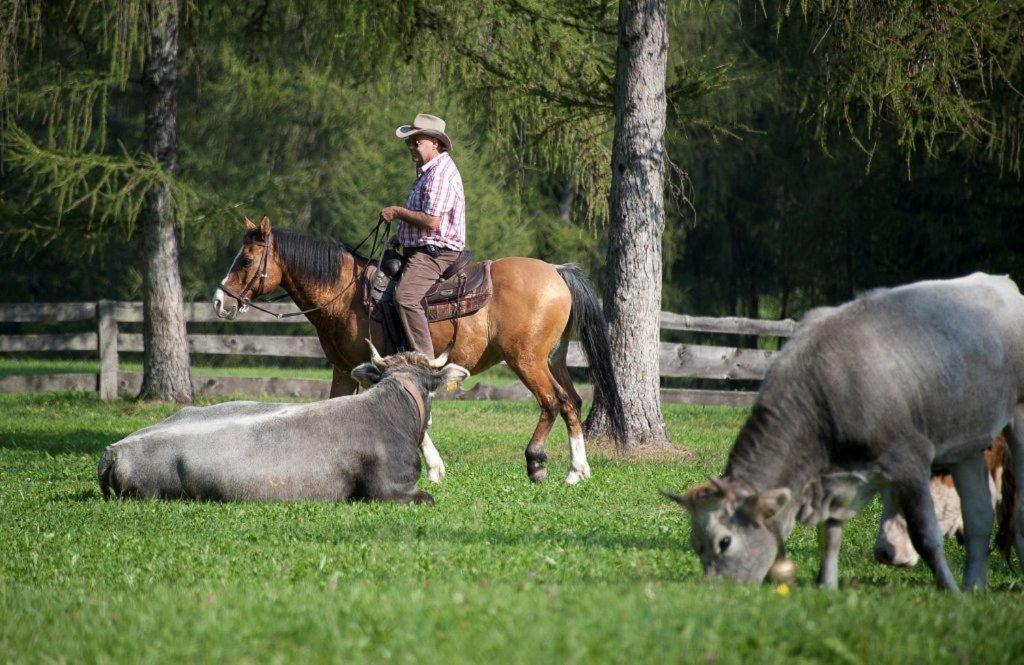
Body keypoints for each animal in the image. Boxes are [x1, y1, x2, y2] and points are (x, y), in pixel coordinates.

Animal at [214, 218, 622, 481]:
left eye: (246, 259)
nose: (220, 302)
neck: (346, 296)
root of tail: (557, 271)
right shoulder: (344, 369)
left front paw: (434, 468)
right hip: (554, 359)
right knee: (572, 402)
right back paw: (577, 470)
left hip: (526, 360)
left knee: (552, 401)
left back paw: (537, 463)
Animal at [659, 272, 1024, 590]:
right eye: (695, 544)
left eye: (725, 541)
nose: (717, 590)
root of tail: (1002, 283)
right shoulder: (835, 479)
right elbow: (830, 535)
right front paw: (827, 586)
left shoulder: (910, 460)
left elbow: (925, 535)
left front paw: (950, 591)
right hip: (967, 443)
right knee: (979, 517)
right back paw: (975, 587)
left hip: (1017, 419)